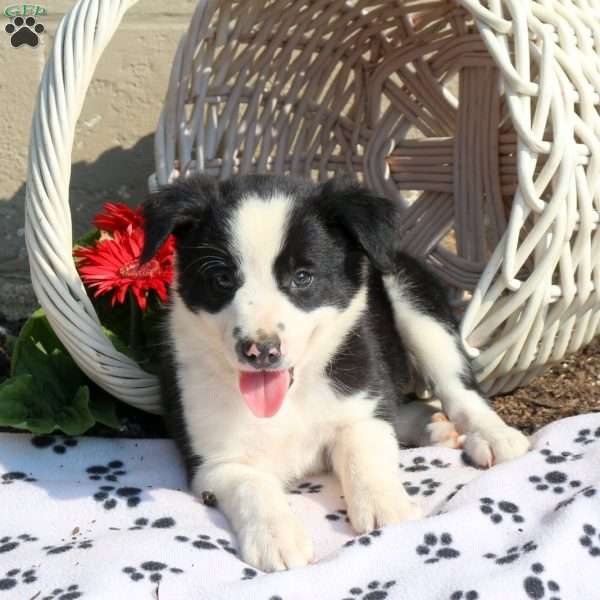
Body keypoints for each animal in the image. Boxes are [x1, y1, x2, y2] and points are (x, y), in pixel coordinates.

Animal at [141, 173, 528, 572]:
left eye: (302, 277)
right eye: (221, 279)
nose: (260, 350)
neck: (290, 397)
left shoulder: (359, 408)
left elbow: (362, 453)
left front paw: (385, 506)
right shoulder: (214, 463)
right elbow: (253, 486)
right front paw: (277, 538)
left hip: (414, 301)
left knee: (458, 387)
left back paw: (493, 435)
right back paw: (431, 425)